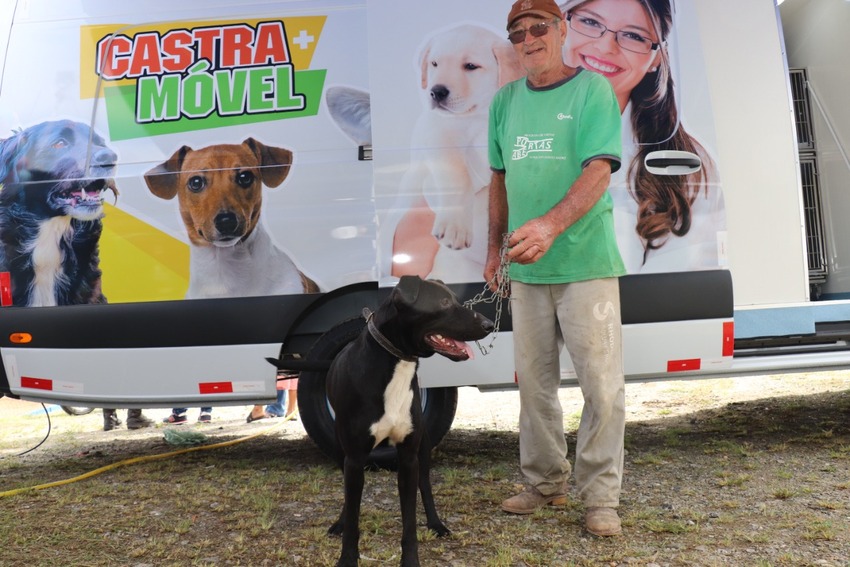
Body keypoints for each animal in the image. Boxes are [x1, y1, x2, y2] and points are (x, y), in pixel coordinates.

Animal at [328, 276, 494, 567]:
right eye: (444, 302)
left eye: (455, 299)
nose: (489, 324)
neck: (396, 363)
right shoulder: (355, 458)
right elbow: (352, 516)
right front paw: (347, 557)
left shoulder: (408, 458)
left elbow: (410, 522)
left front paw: (411, 559)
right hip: (343, 450)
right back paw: (339, 522)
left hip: (423, 450)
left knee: (425, 486)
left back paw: (436, 524)